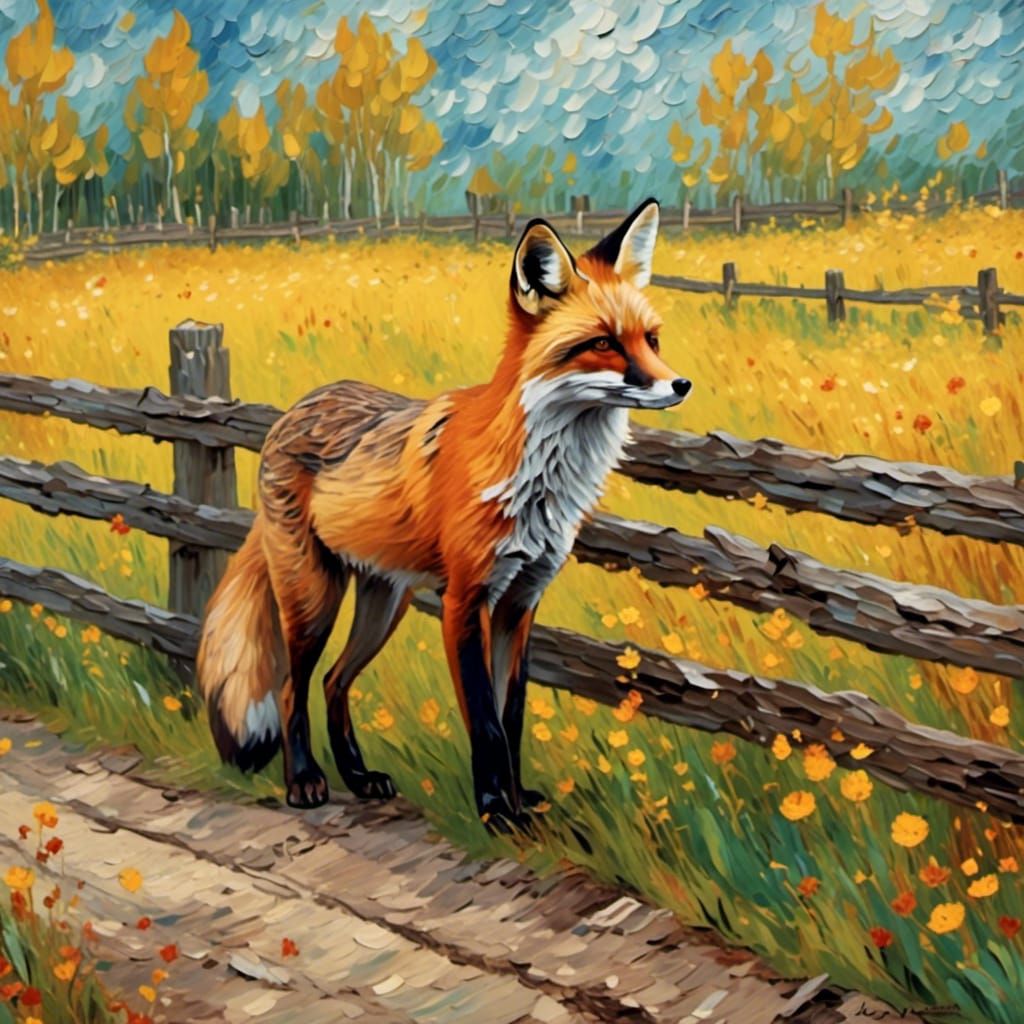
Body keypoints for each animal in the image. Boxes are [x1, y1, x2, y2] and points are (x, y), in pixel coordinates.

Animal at [197, 198, 692, 830]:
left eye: (651, 339)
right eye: (604, 343)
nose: (680, 384)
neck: (538, 483)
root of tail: (295, 409)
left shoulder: (521, 603)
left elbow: (512, 715)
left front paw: (519, 800)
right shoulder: (465, 601)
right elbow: (485, 724)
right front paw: (497, 812)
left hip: (386, 604)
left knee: (334, 681)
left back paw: (358, 777)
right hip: (313, 598)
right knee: (292, 685)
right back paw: (305, 780)